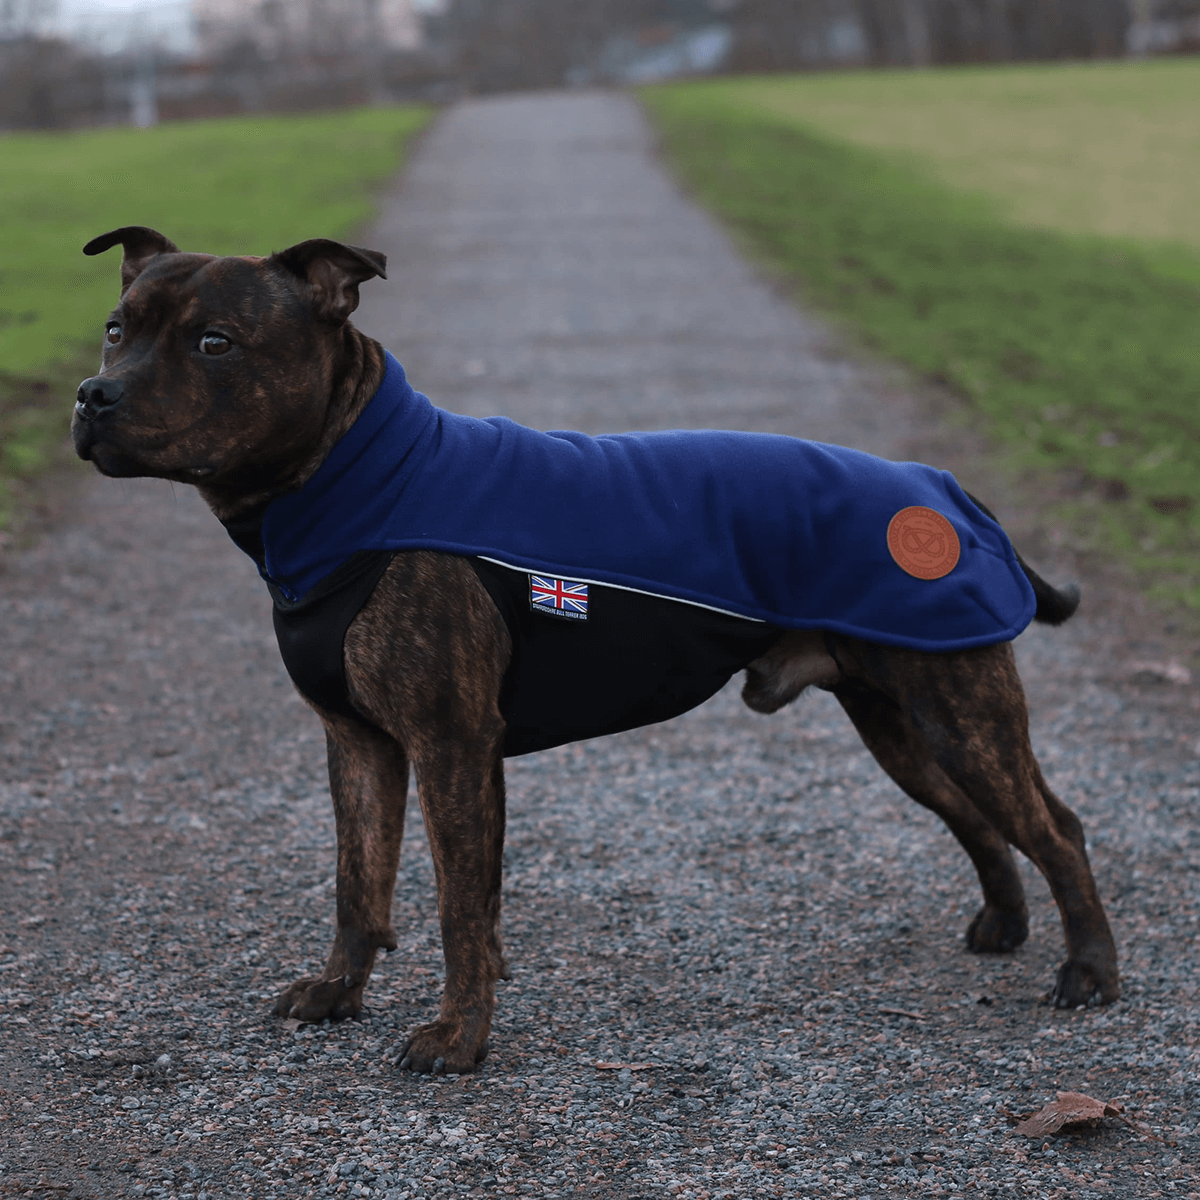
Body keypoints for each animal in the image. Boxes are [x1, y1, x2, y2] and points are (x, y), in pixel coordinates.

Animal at [75, 229, 1118, 1075]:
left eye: (215, 343)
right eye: (116, 330)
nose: (93, 394)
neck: (355, 479)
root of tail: (944, 490)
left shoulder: (450, 746)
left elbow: (459, 908)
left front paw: (458, 1040)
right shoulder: (361, 745)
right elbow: (358, 883)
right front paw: (340, 993)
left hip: (961, 712)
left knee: (1056, 827)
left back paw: (1088, 974)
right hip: (904, 725)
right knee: (976, 819)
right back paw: (1006, 926)